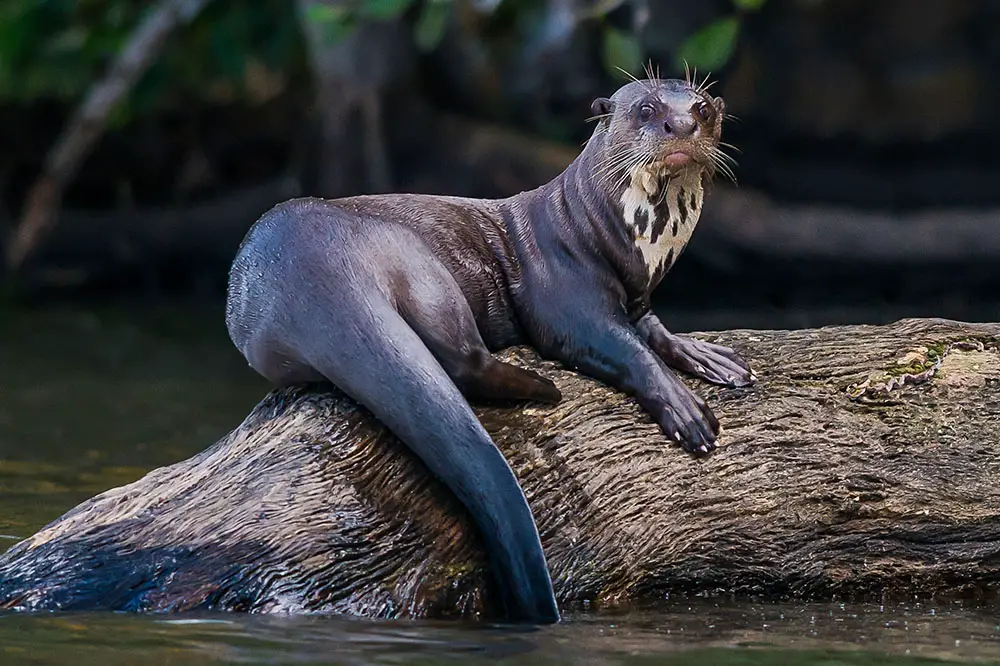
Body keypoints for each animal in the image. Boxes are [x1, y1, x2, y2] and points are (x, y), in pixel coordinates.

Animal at [227, 72, 752, 624]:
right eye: (647, 109)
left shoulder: (638, 297)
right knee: (462, 359)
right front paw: (684, 408)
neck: (606, 233)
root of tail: (311, 269)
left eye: (702, 108)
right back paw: (542, 388)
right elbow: (620, 346)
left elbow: (654, 330)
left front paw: (709, 358)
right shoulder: (565, 294)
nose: (682, 124)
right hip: (416, 261)